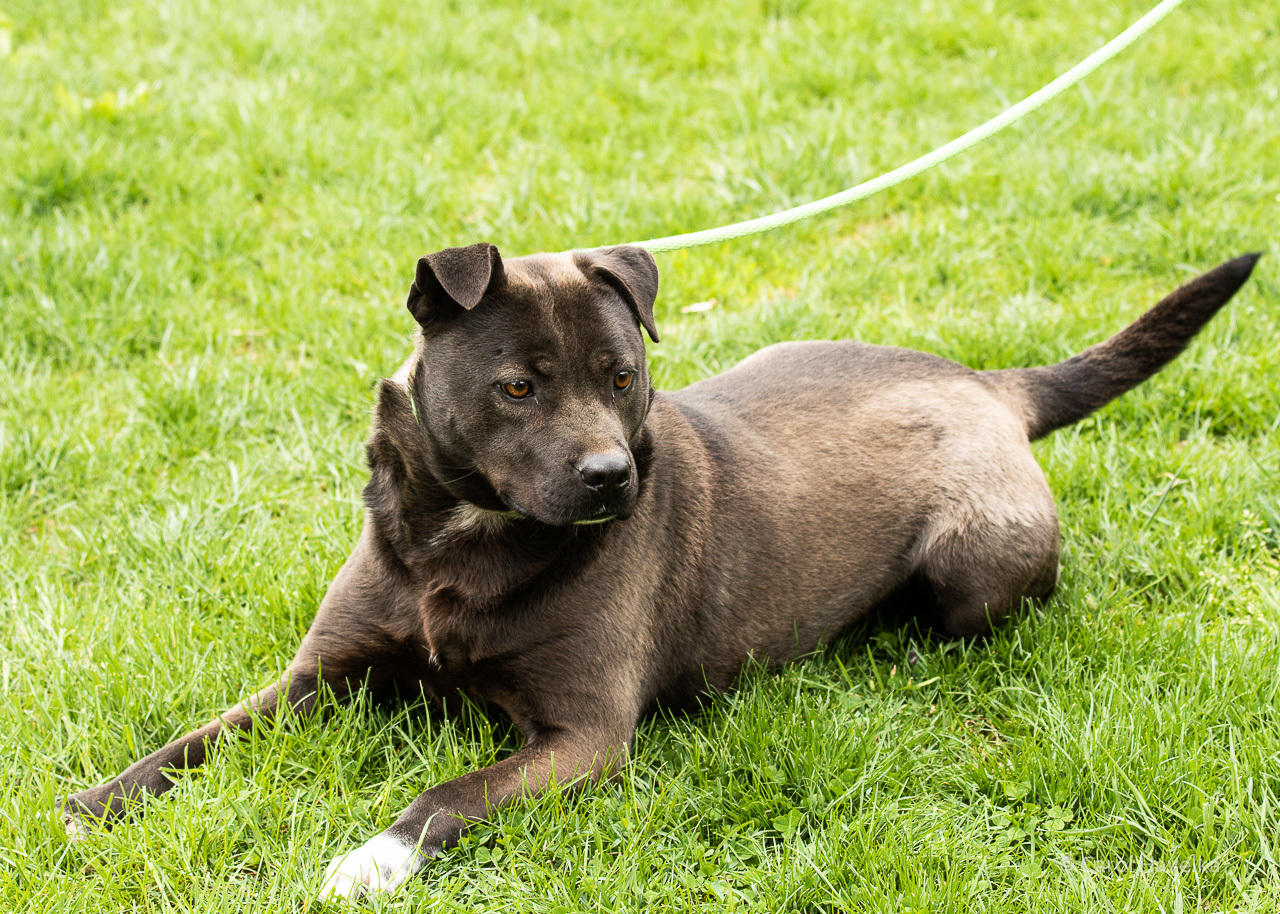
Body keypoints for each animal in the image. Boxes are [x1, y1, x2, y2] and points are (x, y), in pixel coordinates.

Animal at [60, 244, 1259, 896]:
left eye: (623, 375)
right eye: (517, 386)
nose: (610, 476)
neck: (463, 540)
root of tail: (990, 384)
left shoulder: (583, 737)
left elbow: (442, 796)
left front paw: (370, 860)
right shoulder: (317, 678)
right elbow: (197, 737)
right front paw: (94, 801)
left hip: (976, 563)